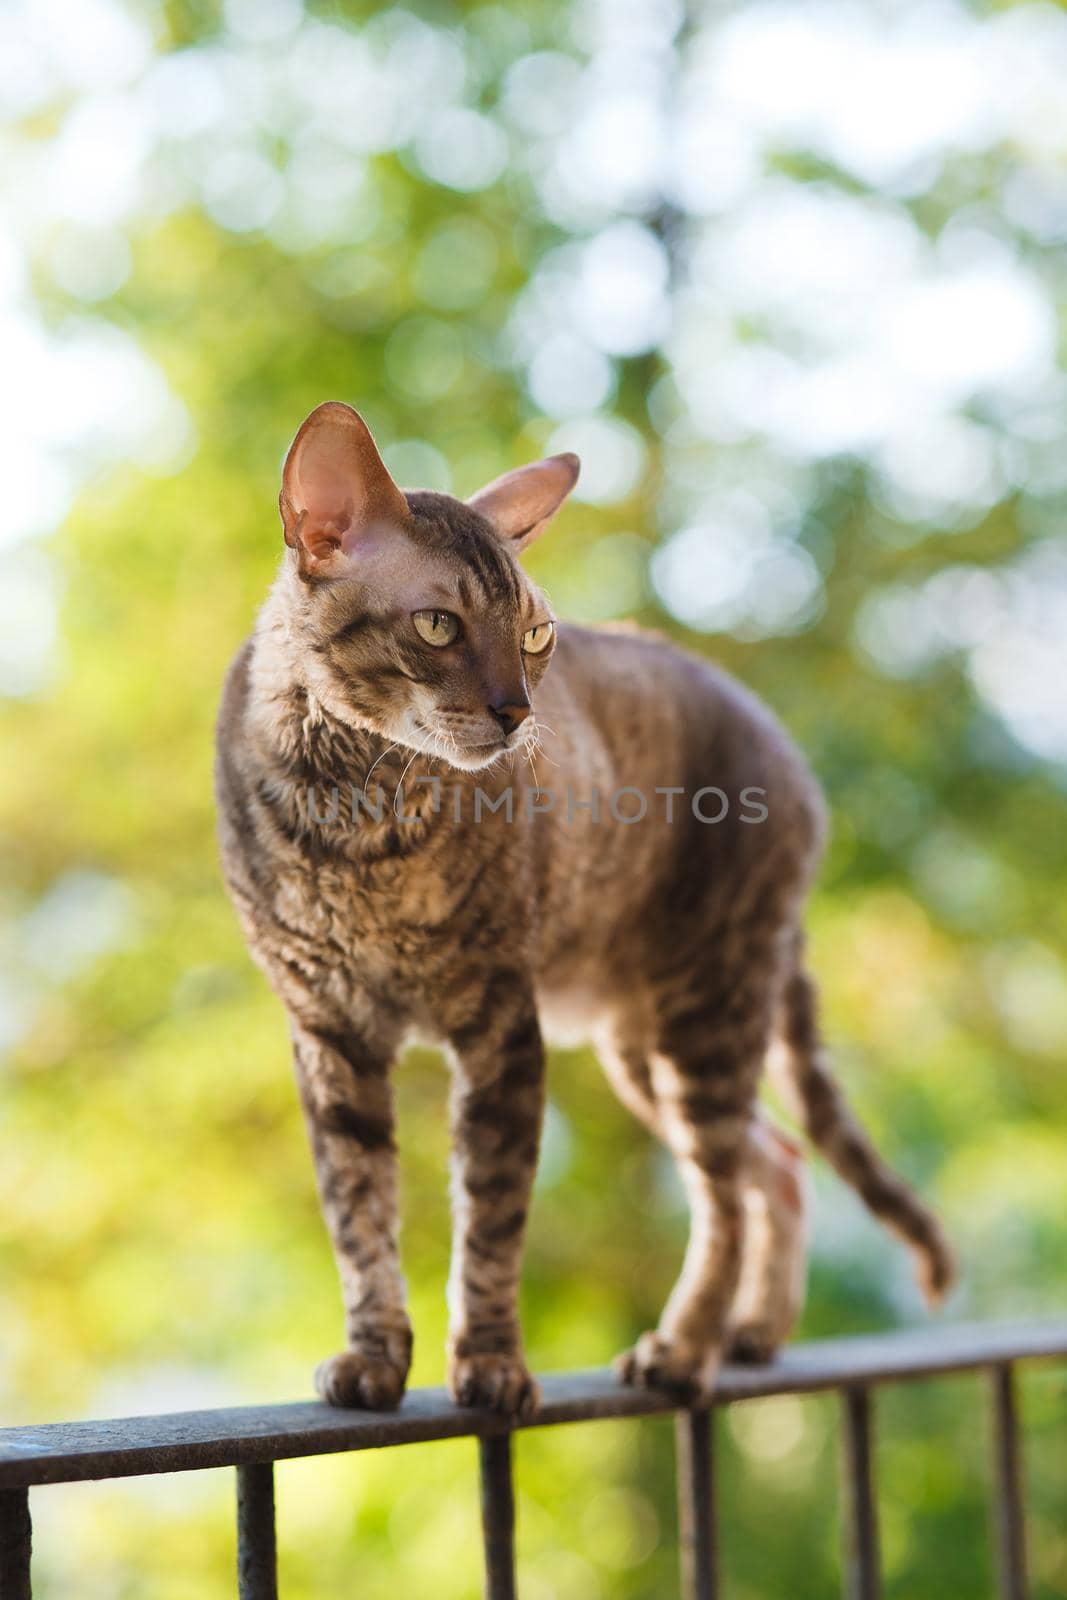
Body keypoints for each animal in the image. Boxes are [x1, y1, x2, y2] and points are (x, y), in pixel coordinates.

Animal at [214, 400, 953, 1414]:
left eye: (535, 637)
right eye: (438, 626)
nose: (518, 712)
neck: (353, 820)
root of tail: (785, 747)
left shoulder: (501, 1027)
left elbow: (490, 1218)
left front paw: (489, 1364)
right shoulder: (328, 1034)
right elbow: (358, 1217)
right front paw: (374, 1356)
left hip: (706, 1010)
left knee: (725, 1189)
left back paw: (684, 1349)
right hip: (645, 1046)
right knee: (773, 1162)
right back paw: (755, 1330)